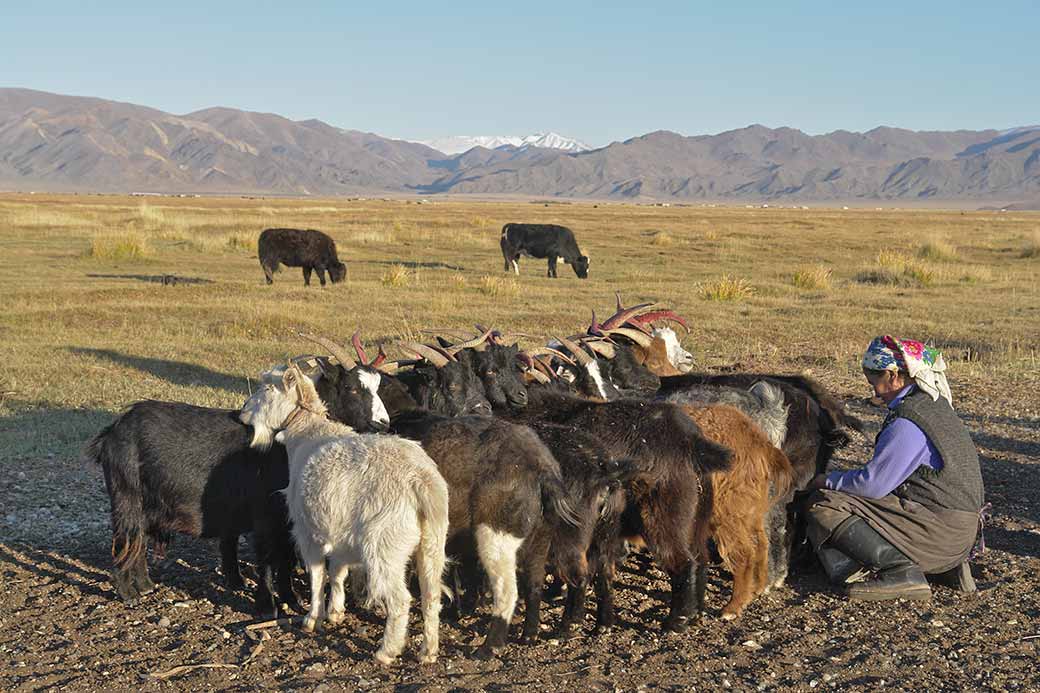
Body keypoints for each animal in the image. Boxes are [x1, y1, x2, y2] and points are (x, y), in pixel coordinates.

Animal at [682, 401, 794, 616]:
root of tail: (761, 442)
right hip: (750, 509)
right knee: (761, 542)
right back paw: (757, 589)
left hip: (726, 510)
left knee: (744, 554)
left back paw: (731, 608)